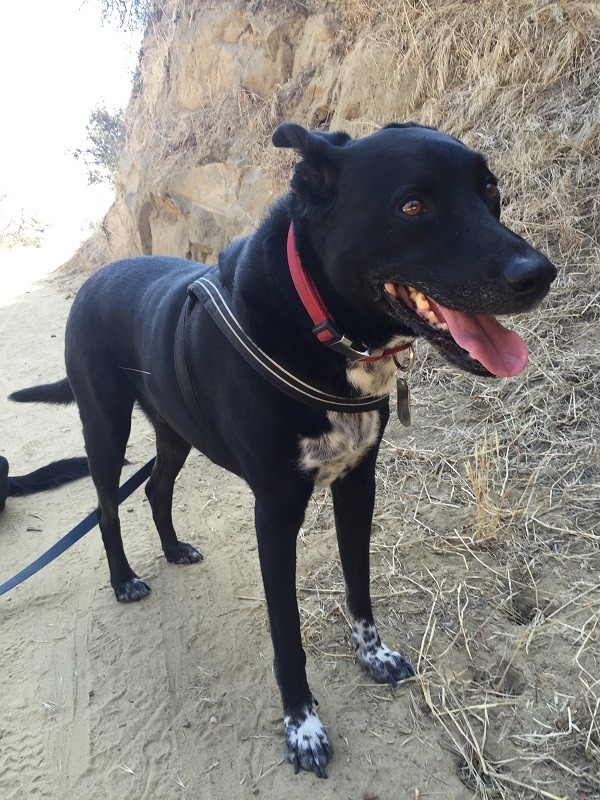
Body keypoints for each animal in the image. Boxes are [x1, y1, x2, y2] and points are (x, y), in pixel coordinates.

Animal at [10, 123, 552, 776]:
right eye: (412, 206)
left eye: (489, 188)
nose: (539, 274)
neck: (320, 329)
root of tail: (92, 278)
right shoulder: (274, 512)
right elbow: (286, 633)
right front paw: (303, 726)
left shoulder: (358, 485)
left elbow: (359, 586)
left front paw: (373, 656)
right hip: (105, 427)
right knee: (106, 505)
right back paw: (124, 579)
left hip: (175, 430)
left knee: (158, 486)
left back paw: (172, 548)